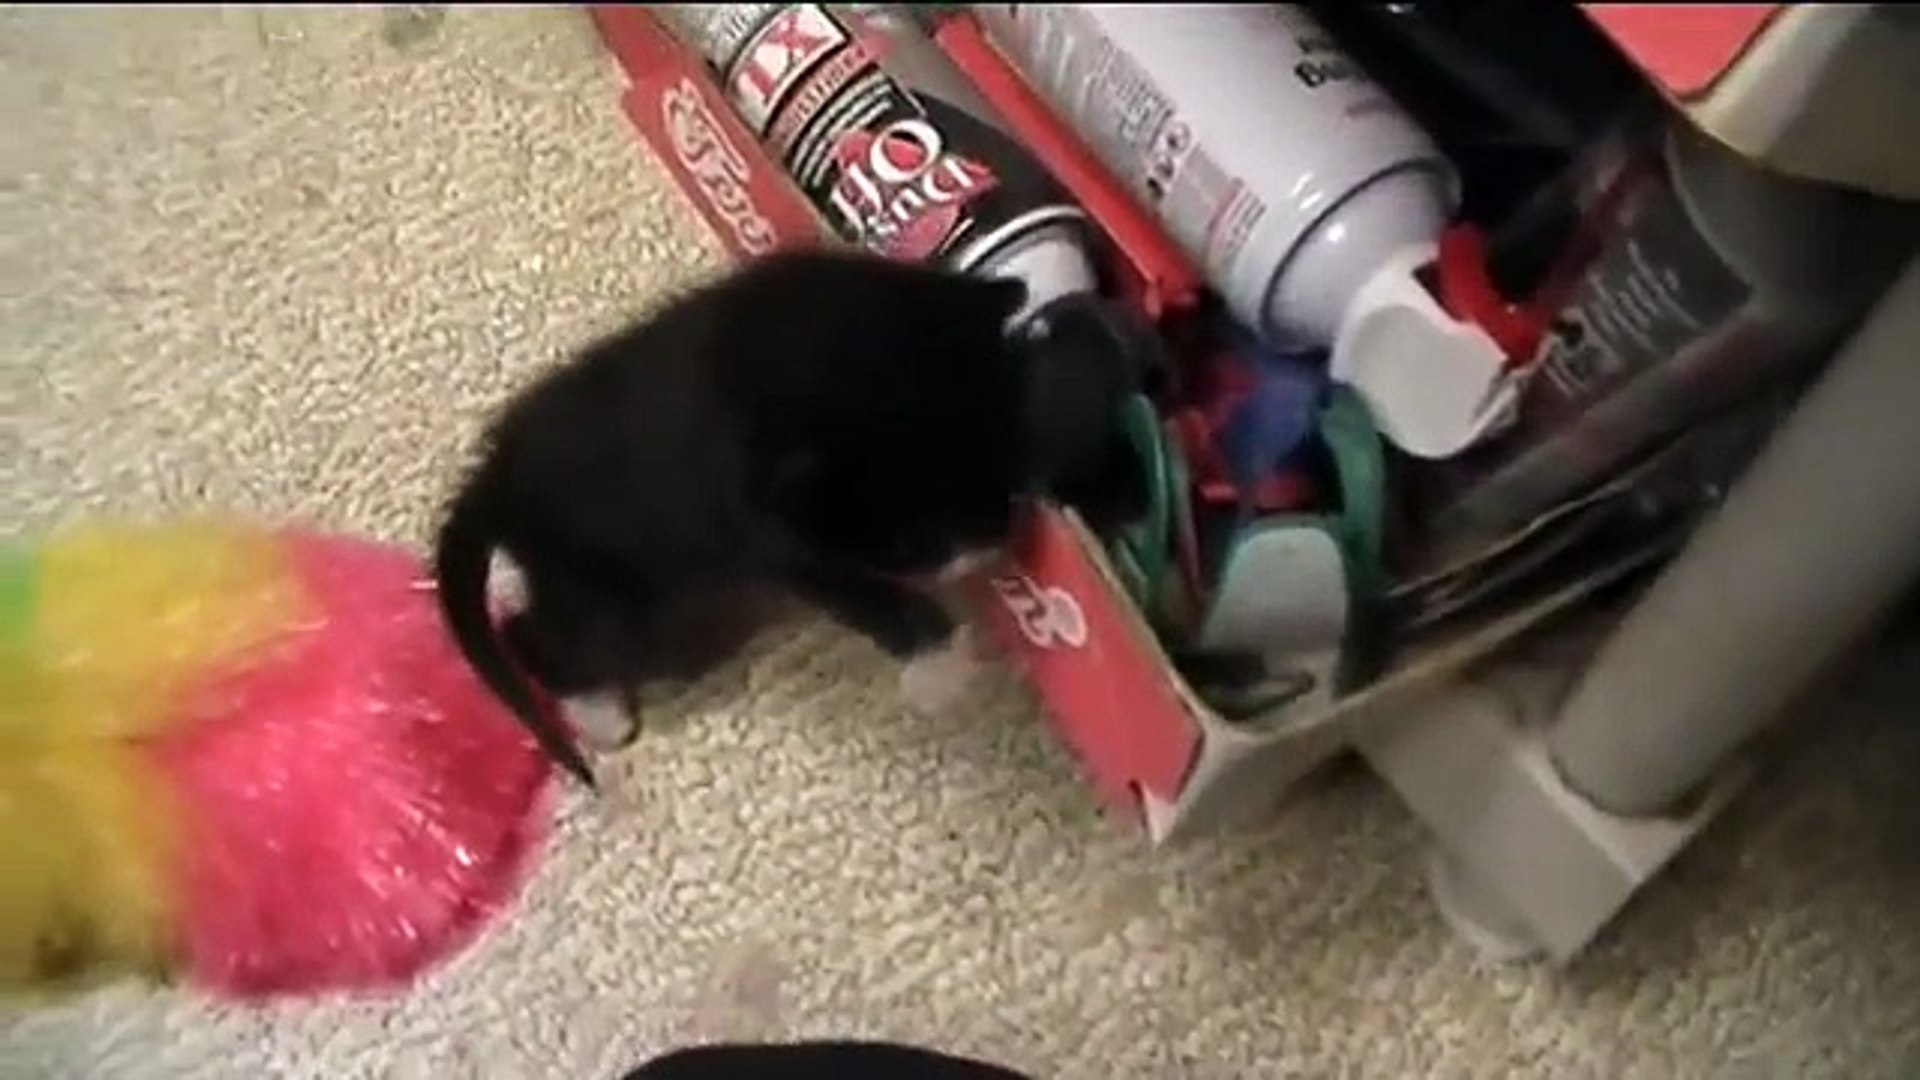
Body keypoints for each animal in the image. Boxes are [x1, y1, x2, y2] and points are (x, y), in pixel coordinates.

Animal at [434, 249, 1054, 789]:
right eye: (909, 543)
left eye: (1005, 471)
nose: (996, 540)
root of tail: (495, 476)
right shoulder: (770, 534)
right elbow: (859, 595)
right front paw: (939, 669)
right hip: (616, 595)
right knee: (536, 635)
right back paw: (599, 711)